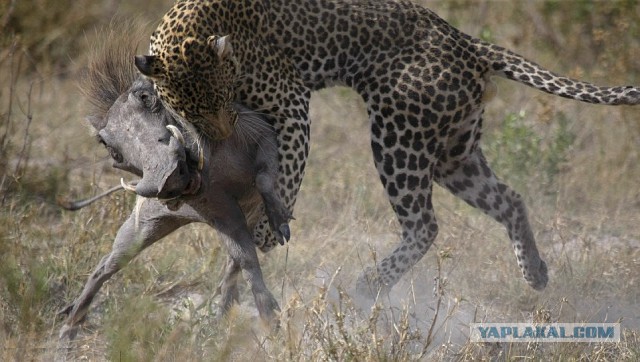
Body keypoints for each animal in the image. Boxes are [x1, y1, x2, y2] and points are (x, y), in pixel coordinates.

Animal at [136, 0, 640, 300]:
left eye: (223, 98)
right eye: (193, 110)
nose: (223, 132)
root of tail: (470, 44)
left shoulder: (292, 99)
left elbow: (289, 168)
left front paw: (266, 231)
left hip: (399, 136)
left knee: (425, 224)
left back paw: (368, 284)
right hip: (454, 152)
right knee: (508, 199)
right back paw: (534, 271)